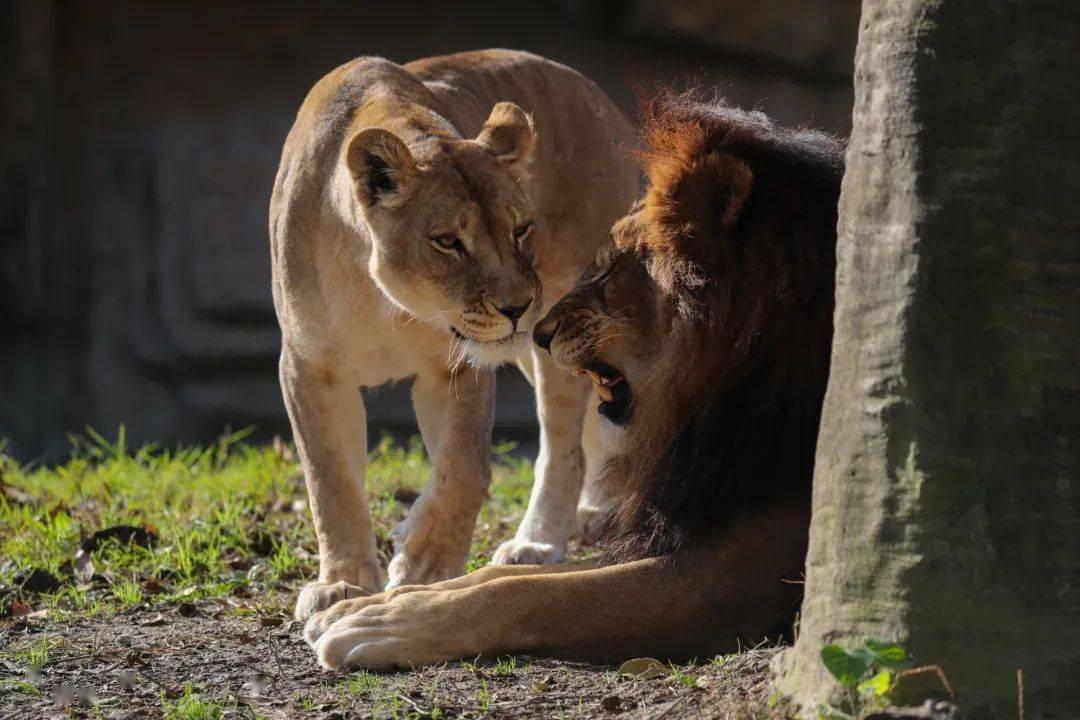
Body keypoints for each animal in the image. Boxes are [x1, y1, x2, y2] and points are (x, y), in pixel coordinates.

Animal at [272, 49, 639, 621]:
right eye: (447, 241)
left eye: (521, 230)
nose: (517, 307)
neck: (384, 300)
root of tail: (597, 95)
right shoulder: (308, 368)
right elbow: (328, 481)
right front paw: (343, 584)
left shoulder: (459, 364)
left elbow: (464, 470)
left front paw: (425, 563)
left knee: (566, 448)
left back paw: (536, 543)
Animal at [302, 90, 842, 669]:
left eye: (608, 269)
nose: (538, 331)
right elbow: (505, 574)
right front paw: (382, 598)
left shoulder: (736, 574)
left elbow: (533, 592)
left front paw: (388, 621)